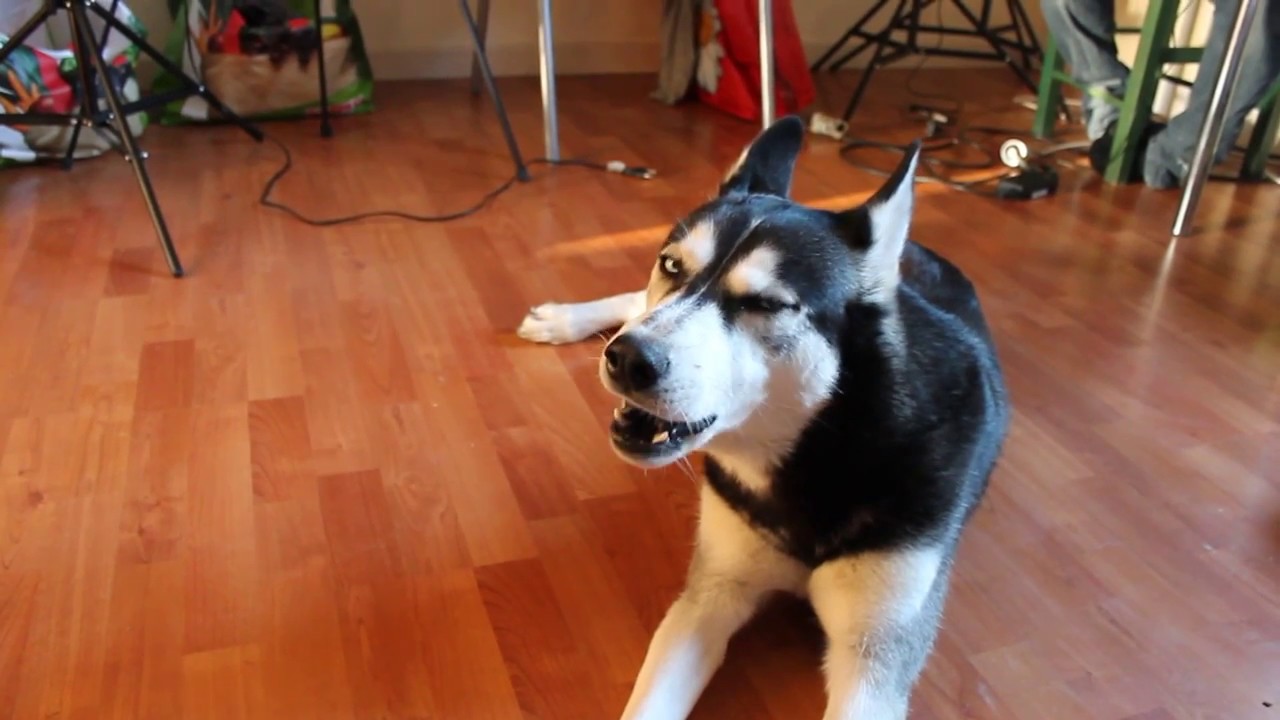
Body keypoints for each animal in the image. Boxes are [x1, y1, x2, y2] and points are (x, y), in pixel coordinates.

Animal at [514, 117, 1003, 717]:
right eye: (671, 264)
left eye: (766, 304)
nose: (627, 359)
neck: (825, 448)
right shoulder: (710, 595)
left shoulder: (874, 655)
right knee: (634, 303)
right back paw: (564, 319)